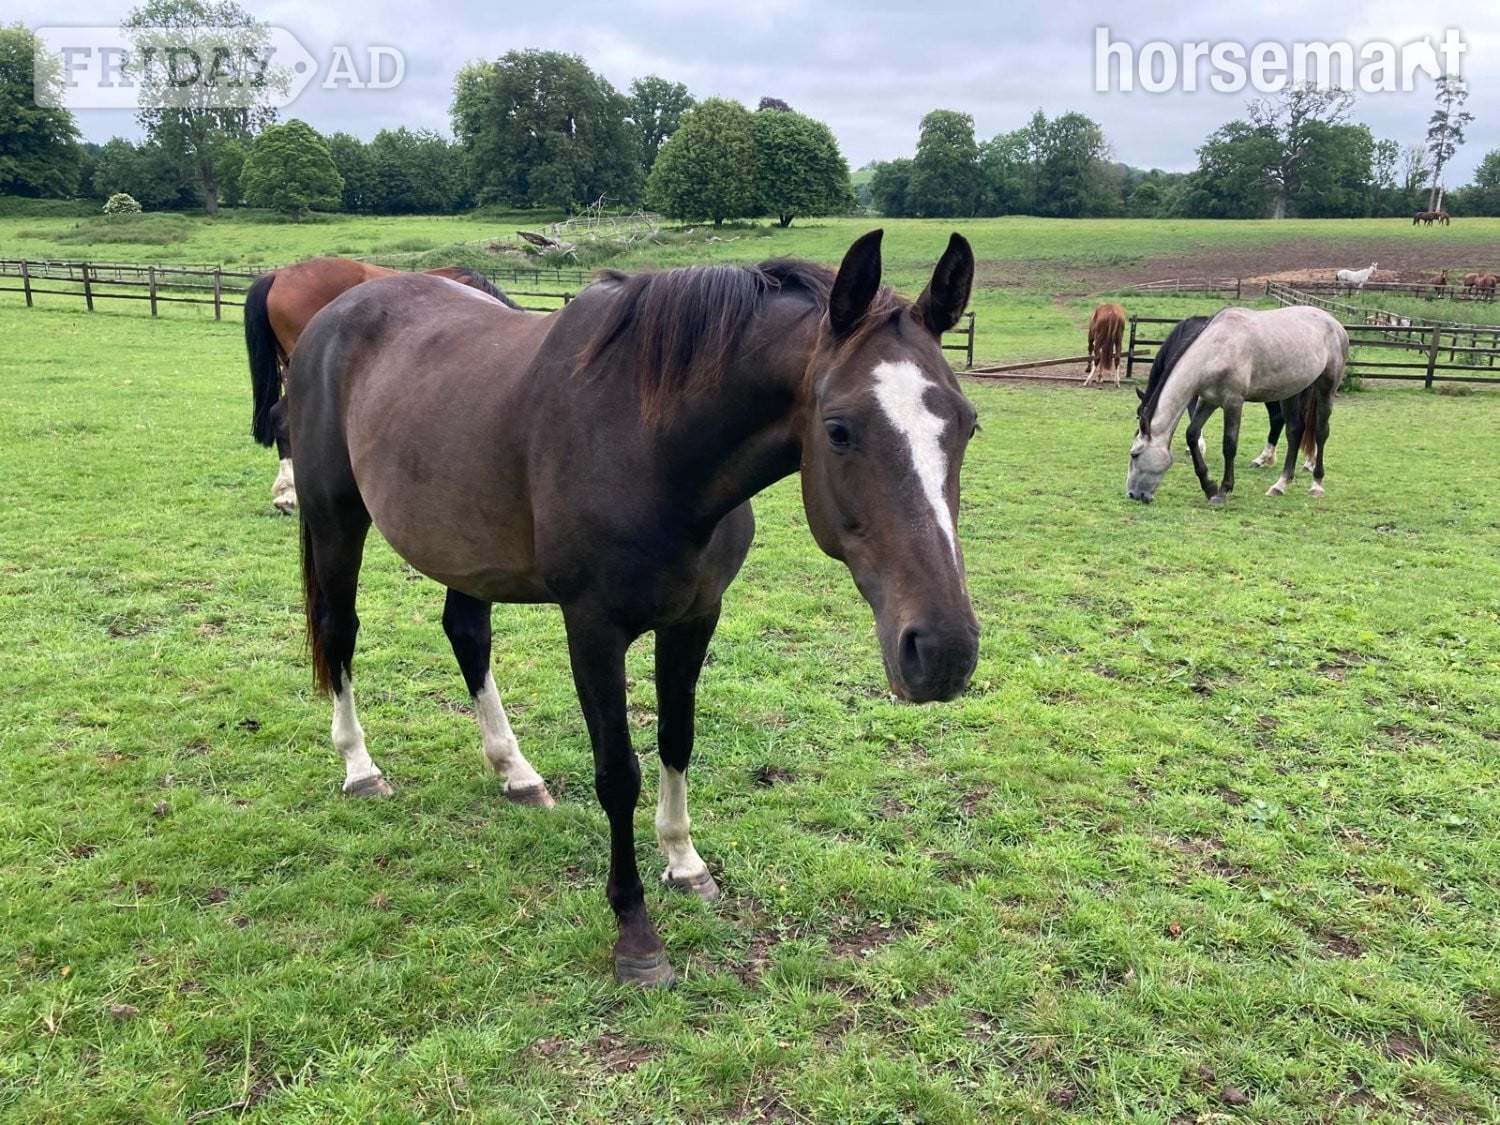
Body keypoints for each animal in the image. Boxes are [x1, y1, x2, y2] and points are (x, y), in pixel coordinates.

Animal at [282, 230, 981, 987]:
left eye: (968, 424)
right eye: (840, 429)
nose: (943, 650)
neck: (651, 443)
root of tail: (338, 310)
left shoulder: (696, 617)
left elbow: (676, 740)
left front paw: (685, 864)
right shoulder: (593, 627)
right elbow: (619, 773)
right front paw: (636, 935)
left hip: (463, 543)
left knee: (466, 635)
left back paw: (516, 773)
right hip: (336, 518)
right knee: (340, 631)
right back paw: (360, 768)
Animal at [1127, 306, 1347, 505]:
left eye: (1135, 454)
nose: (1132, 494)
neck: (1216, 349)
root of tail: (1335, 324)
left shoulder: (1233, 402)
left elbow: (1229, 445)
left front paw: (1222, 491)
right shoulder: (1208, 400)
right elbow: (1191, 434)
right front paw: (1209, 487)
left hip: (1326, 388)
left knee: (1320, 432)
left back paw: (1316, 485)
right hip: (1291, 391)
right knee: (1294, 431)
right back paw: (1280, 485)